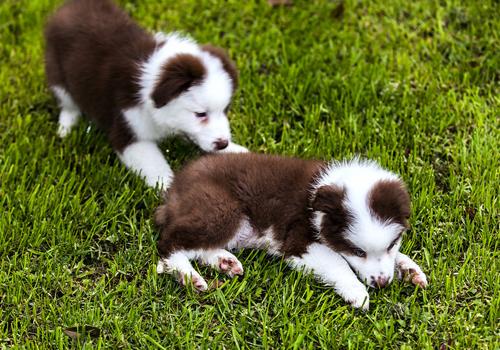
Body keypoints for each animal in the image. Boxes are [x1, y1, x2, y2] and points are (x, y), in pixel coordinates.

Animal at [44, 0, 246, 189]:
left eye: (225, 110)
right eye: (200, 114)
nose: (223, 144)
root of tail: (71, 5)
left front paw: (237, 152)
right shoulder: (129, 130)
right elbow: (156, 168)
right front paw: (170, 191)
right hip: (57, 74)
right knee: (68, 104)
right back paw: (66, 128)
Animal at [155, 153, 426, 308]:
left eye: (391, 244)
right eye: (359, 252)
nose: (382, 283)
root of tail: (176, 188)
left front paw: (409, 269)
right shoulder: (299, 241)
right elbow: (338, 263)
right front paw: (357, 293)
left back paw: (224, 262)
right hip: (221, 209)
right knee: (169, 241)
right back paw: (188, 276)